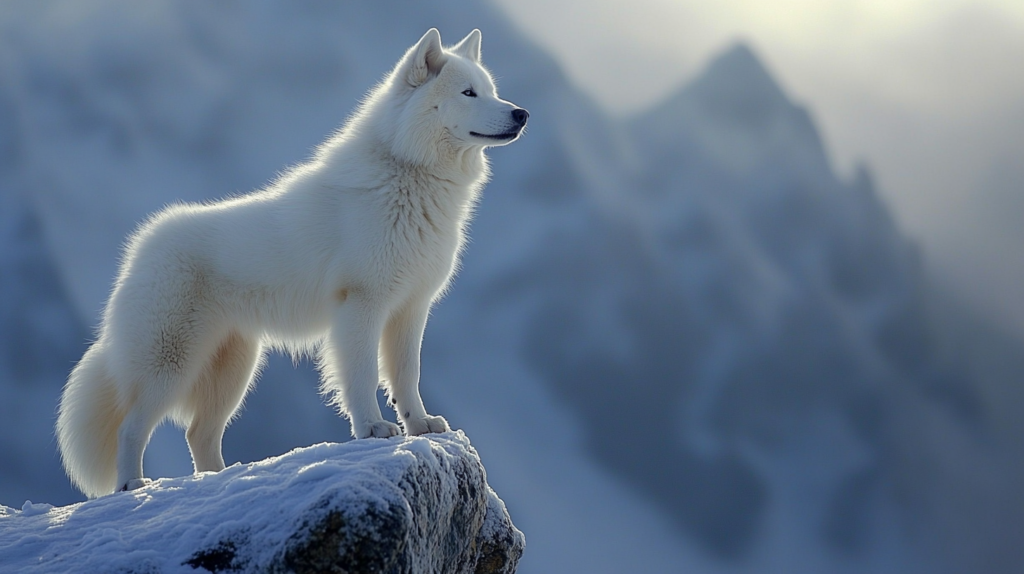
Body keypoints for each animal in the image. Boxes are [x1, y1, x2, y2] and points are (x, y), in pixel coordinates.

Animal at [54, 29, 528, 497]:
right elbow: (361, 376)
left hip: (234, 371)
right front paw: (373, 428)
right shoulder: (362, 305)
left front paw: (420, 425)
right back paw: (133, 484)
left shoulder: (410, 309)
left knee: (198, 434)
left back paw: (224, 480)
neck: (409, 172)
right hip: (169, 365)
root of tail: (141, 248)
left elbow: (405, 377)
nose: (521, 113)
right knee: (132, 427)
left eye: (491, 91)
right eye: (468, 93)